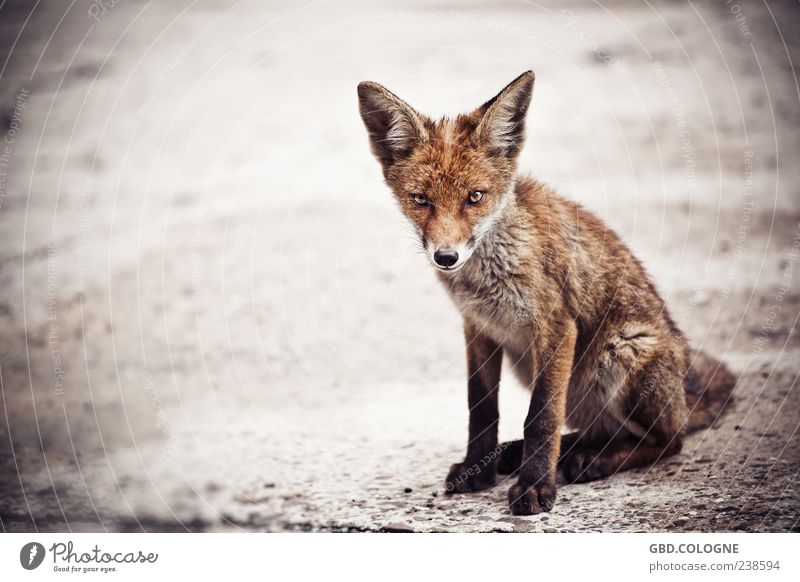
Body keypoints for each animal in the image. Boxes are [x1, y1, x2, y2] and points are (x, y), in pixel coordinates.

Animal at [356, 72, 736, 516]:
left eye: (474, 197)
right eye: (421, 200)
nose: (446, 257)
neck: (488, 277)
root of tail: (682, 393)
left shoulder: (556, 327)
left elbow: (541, 417)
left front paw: (536, 486)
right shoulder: (478, 327)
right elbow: (481, 408)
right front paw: (477, 469)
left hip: (621, 354)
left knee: (668, 441)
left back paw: (592, 460)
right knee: (598, 430)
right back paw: (533, 454)